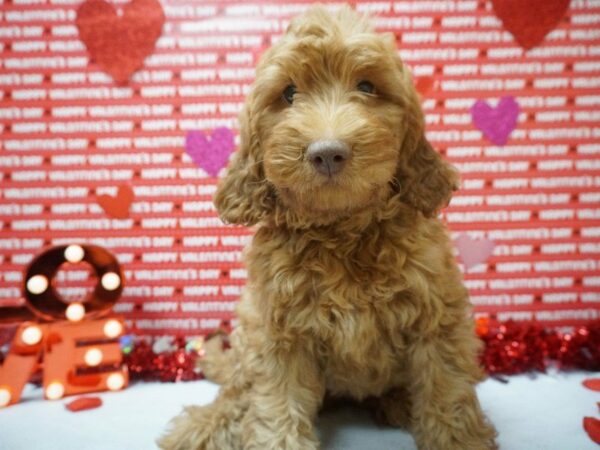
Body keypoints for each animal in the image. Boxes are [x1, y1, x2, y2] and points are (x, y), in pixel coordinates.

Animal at [158, 4, 496, 450]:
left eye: (367, 86)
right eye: (288, 94)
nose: (328, 153)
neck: (342, 231)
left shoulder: (437, 317)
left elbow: (447, 390)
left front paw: (460, 439)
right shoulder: (278, 333)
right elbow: (275, 402)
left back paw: (398, 403)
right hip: (248, 327)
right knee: (237, 386)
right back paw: (207, 424)